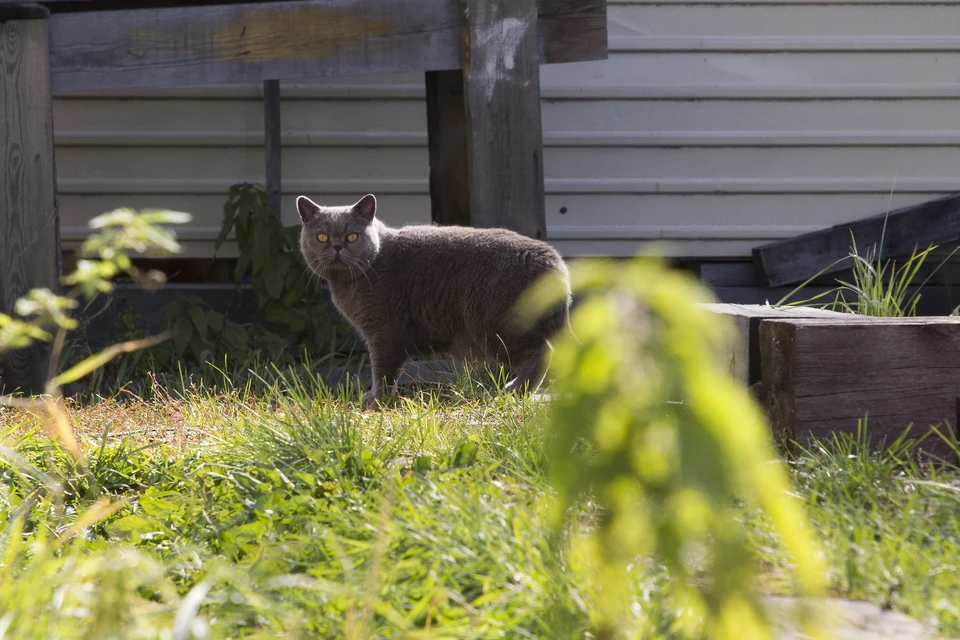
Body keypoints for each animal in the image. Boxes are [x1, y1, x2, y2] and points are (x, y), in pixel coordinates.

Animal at [300, 194, 568, 404]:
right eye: (321, 237)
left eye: (352, 237)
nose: (337, 246)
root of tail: (550, 257)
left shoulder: (381, 333)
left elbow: (382, 369)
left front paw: (377, 398)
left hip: (494, 325)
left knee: (542, 350)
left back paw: (514, 391)